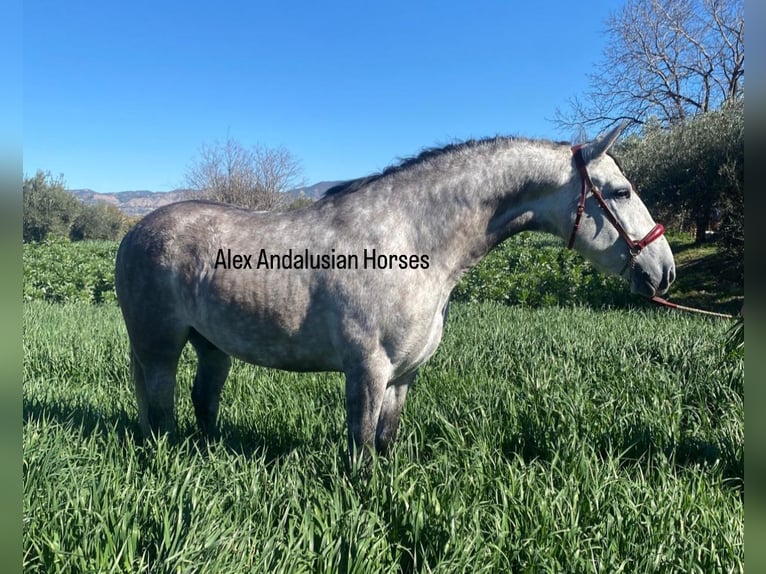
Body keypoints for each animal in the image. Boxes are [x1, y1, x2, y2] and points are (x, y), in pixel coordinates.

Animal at [115, 125, 680, 460]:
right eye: (621, 191)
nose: (664, 270)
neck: (411, 239)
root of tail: (133, 231)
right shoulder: (367, 369)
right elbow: (362, 447)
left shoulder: (404, 374)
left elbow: (385, 442)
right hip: (159, 348)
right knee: (162, 412)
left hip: (212, 347)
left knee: (203, 402)